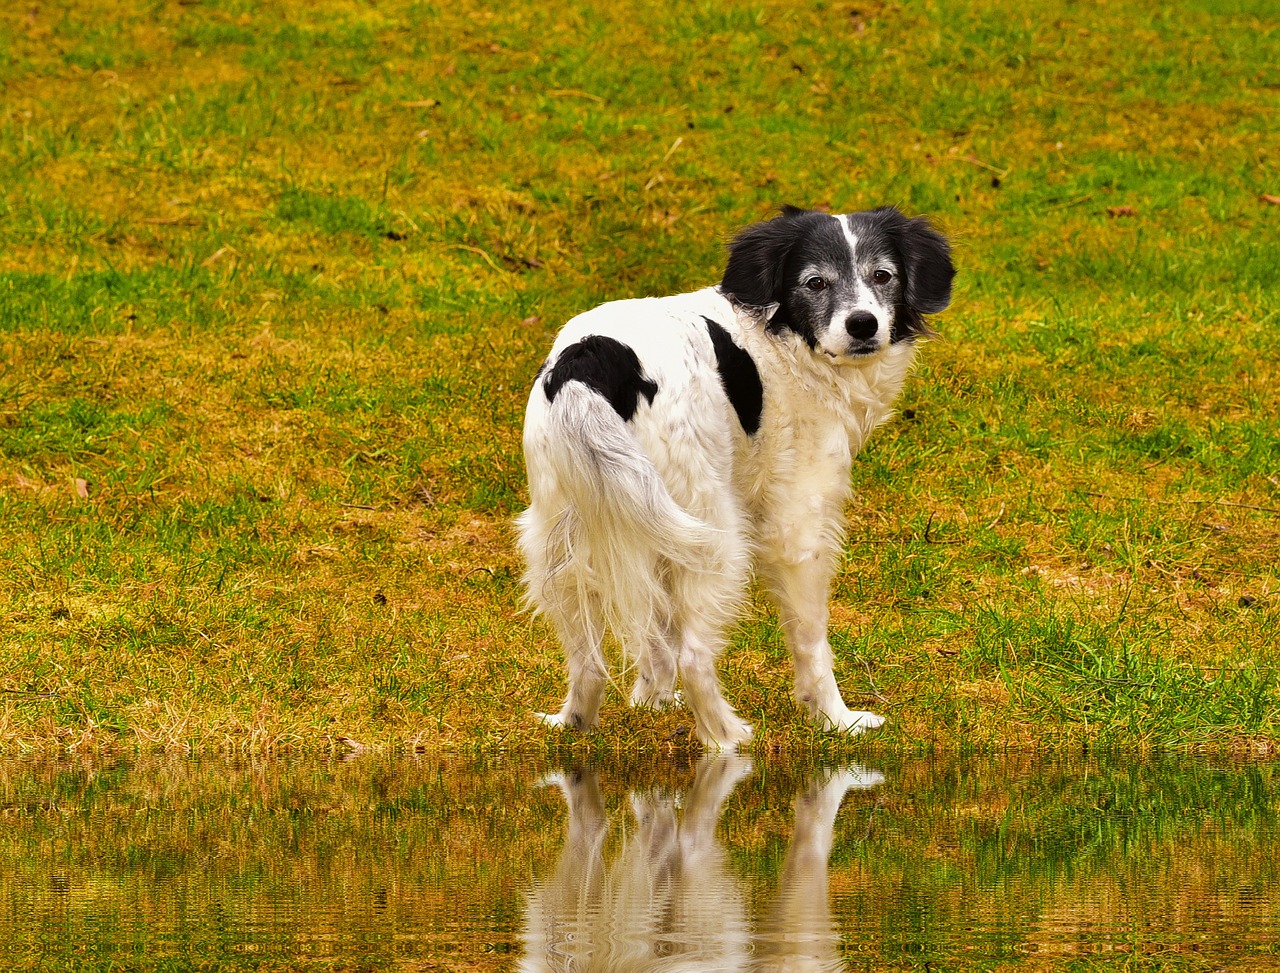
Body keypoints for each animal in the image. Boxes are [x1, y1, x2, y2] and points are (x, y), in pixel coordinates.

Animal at [517, 204, 952, 747]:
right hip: (713, 531)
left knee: (589, 658)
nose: (863, 325)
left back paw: (575, 721)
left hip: (569, 534)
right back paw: (727, 738)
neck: (783, 339)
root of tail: (587, 362)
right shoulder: (798, 529)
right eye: (815, 282)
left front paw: (650, 703)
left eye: (883, 276)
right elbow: (811, 640)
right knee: (694, 655)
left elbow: (654, 638)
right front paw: (836, 719)